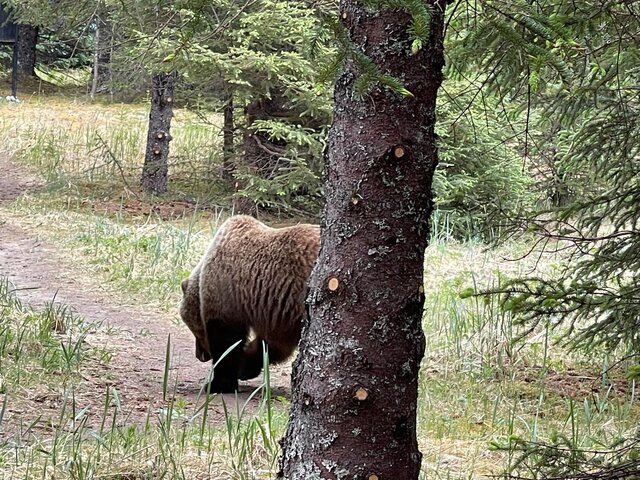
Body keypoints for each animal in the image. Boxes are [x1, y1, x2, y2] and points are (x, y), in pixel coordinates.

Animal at [179, 215, 318, 394]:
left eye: (195, 330)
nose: (200, 355)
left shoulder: (227, 295)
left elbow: (226, 342)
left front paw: (217, 384)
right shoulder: (277, 312)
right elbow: (271, 344)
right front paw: (245, 368)